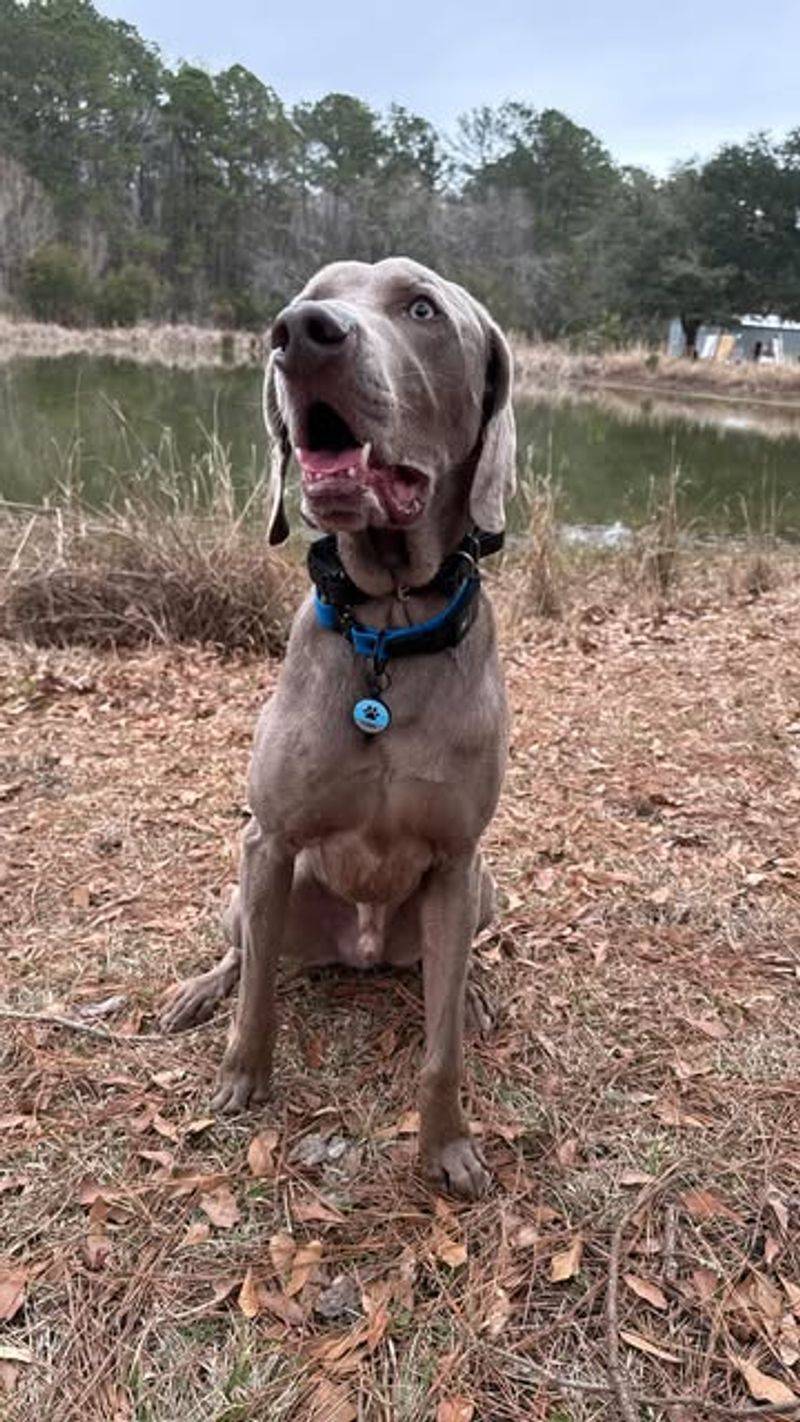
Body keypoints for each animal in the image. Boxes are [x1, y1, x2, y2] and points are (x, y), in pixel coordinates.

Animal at [162, 258, 517, 1200]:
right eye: (310, 295)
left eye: (422, 309)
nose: (301, 332)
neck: (387, 629)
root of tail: (359, 951)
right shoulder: (270, 841)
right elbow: (258, 999)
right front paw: (242, 1083)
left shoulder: (458, 860)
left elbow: (440, 1050)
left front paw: (447, 1147)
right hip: (249, 887)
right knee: (247, 955)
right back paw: (199, 990)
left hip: (483, 888)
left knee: (447, 966)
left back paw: (471, 992)